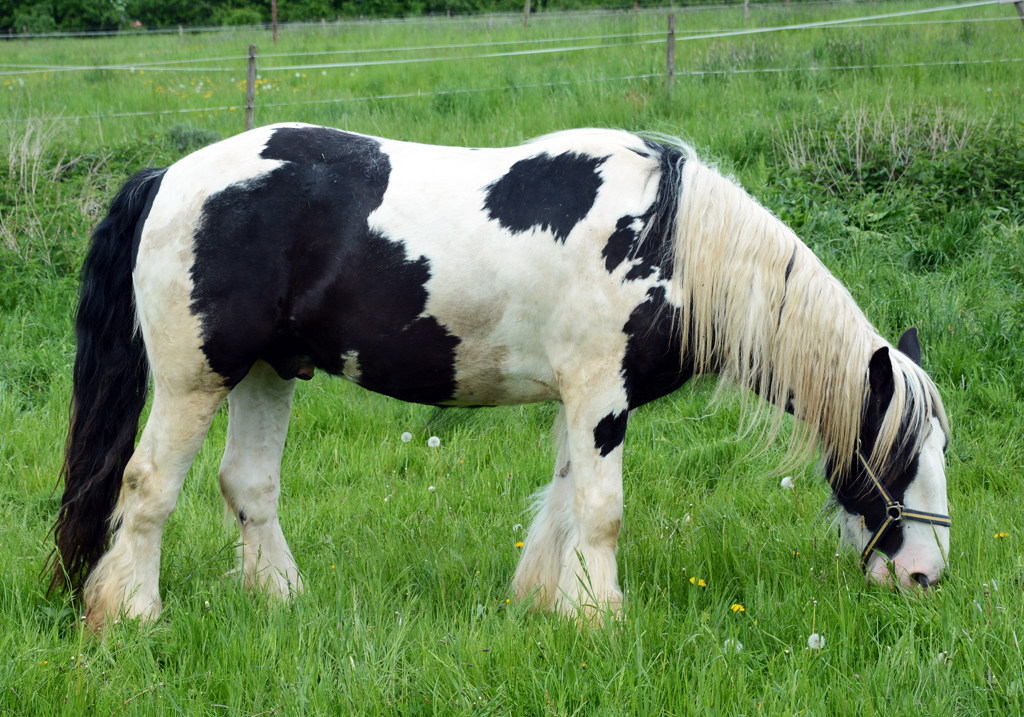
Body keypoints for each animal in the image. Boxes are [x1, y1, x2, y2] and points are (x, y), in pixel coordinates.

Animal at [51, 124, 950, 630]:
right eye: (900, 456)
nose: (925, 577)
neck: (668, 241)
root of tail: (168, 178)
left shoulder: (585, 401)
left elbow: (561, 504)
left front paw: (549, 604)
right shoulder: (600, 396)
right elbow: (601, 510)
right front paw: (601, 617)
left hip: (270, 372)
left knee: (248, 485)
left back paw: (281, 599)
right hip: (195, 379)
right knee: (147, 485)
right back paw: (130, 613)